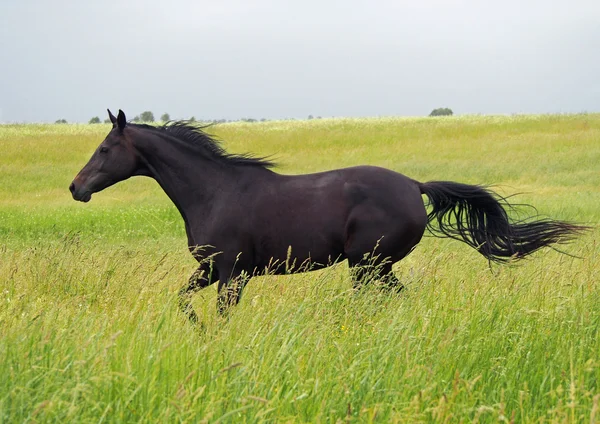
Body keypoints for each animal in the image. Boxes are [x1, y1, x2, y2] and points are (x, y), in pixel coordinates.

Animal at [69, 109, 584, 322]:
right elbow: (181, 301)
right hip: (375, 266)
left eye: (104, 148)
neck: (213, 192)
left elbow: (223, 316)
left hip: (367, 264)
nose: (76, 188)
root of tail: (414, 185)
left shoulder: (232, 273)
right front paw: (195, 329)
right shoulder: (208, 269)